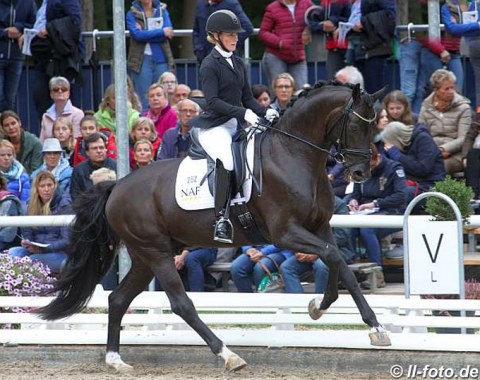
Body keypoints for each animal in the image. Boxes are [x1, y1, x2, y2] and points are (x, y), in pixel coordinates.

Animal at [37, 82, 390, 372]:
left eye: (375, 126)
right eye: (356, 123)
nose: (361, 173)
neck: (293, 155)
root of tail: (117, 187)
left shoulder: (320, 228)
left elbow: (338, 263)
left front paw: (327, 308)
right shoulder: (286, 232)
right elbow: (334, 256)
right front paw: (368, 325)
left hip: (145, 256)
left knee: (119, 299)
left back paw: (115, 360)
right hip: (155, 252)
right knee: (180, 304)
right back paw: (228, 354)